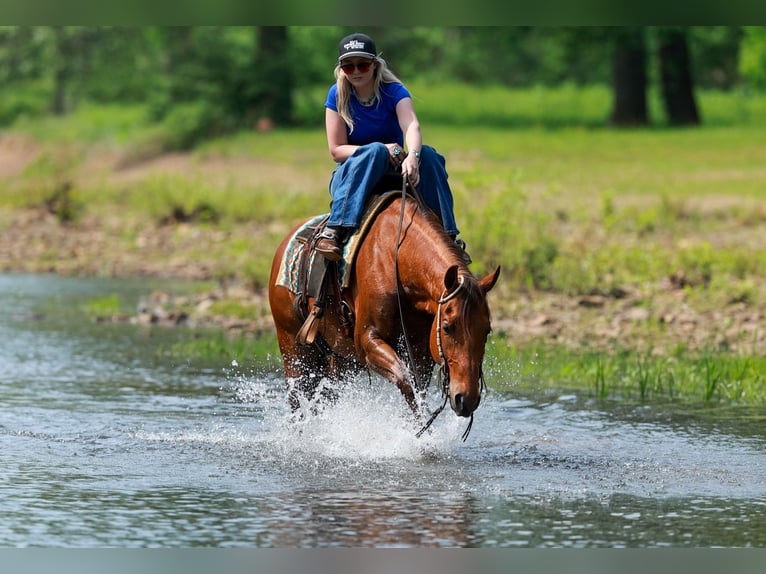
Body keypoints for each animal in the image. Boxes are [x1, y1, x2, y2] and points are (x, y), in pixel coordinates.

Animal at [268, 189, 500, 436]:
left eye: (487, 330)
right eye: (446, 327)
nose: (466, 399)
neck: (397, 257)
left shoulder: (421, 352)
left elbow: (418, 390)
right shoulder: (367, 341)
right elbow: (405, 381)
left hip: (341, 360)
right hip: (295, 352)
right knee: (297, 401)